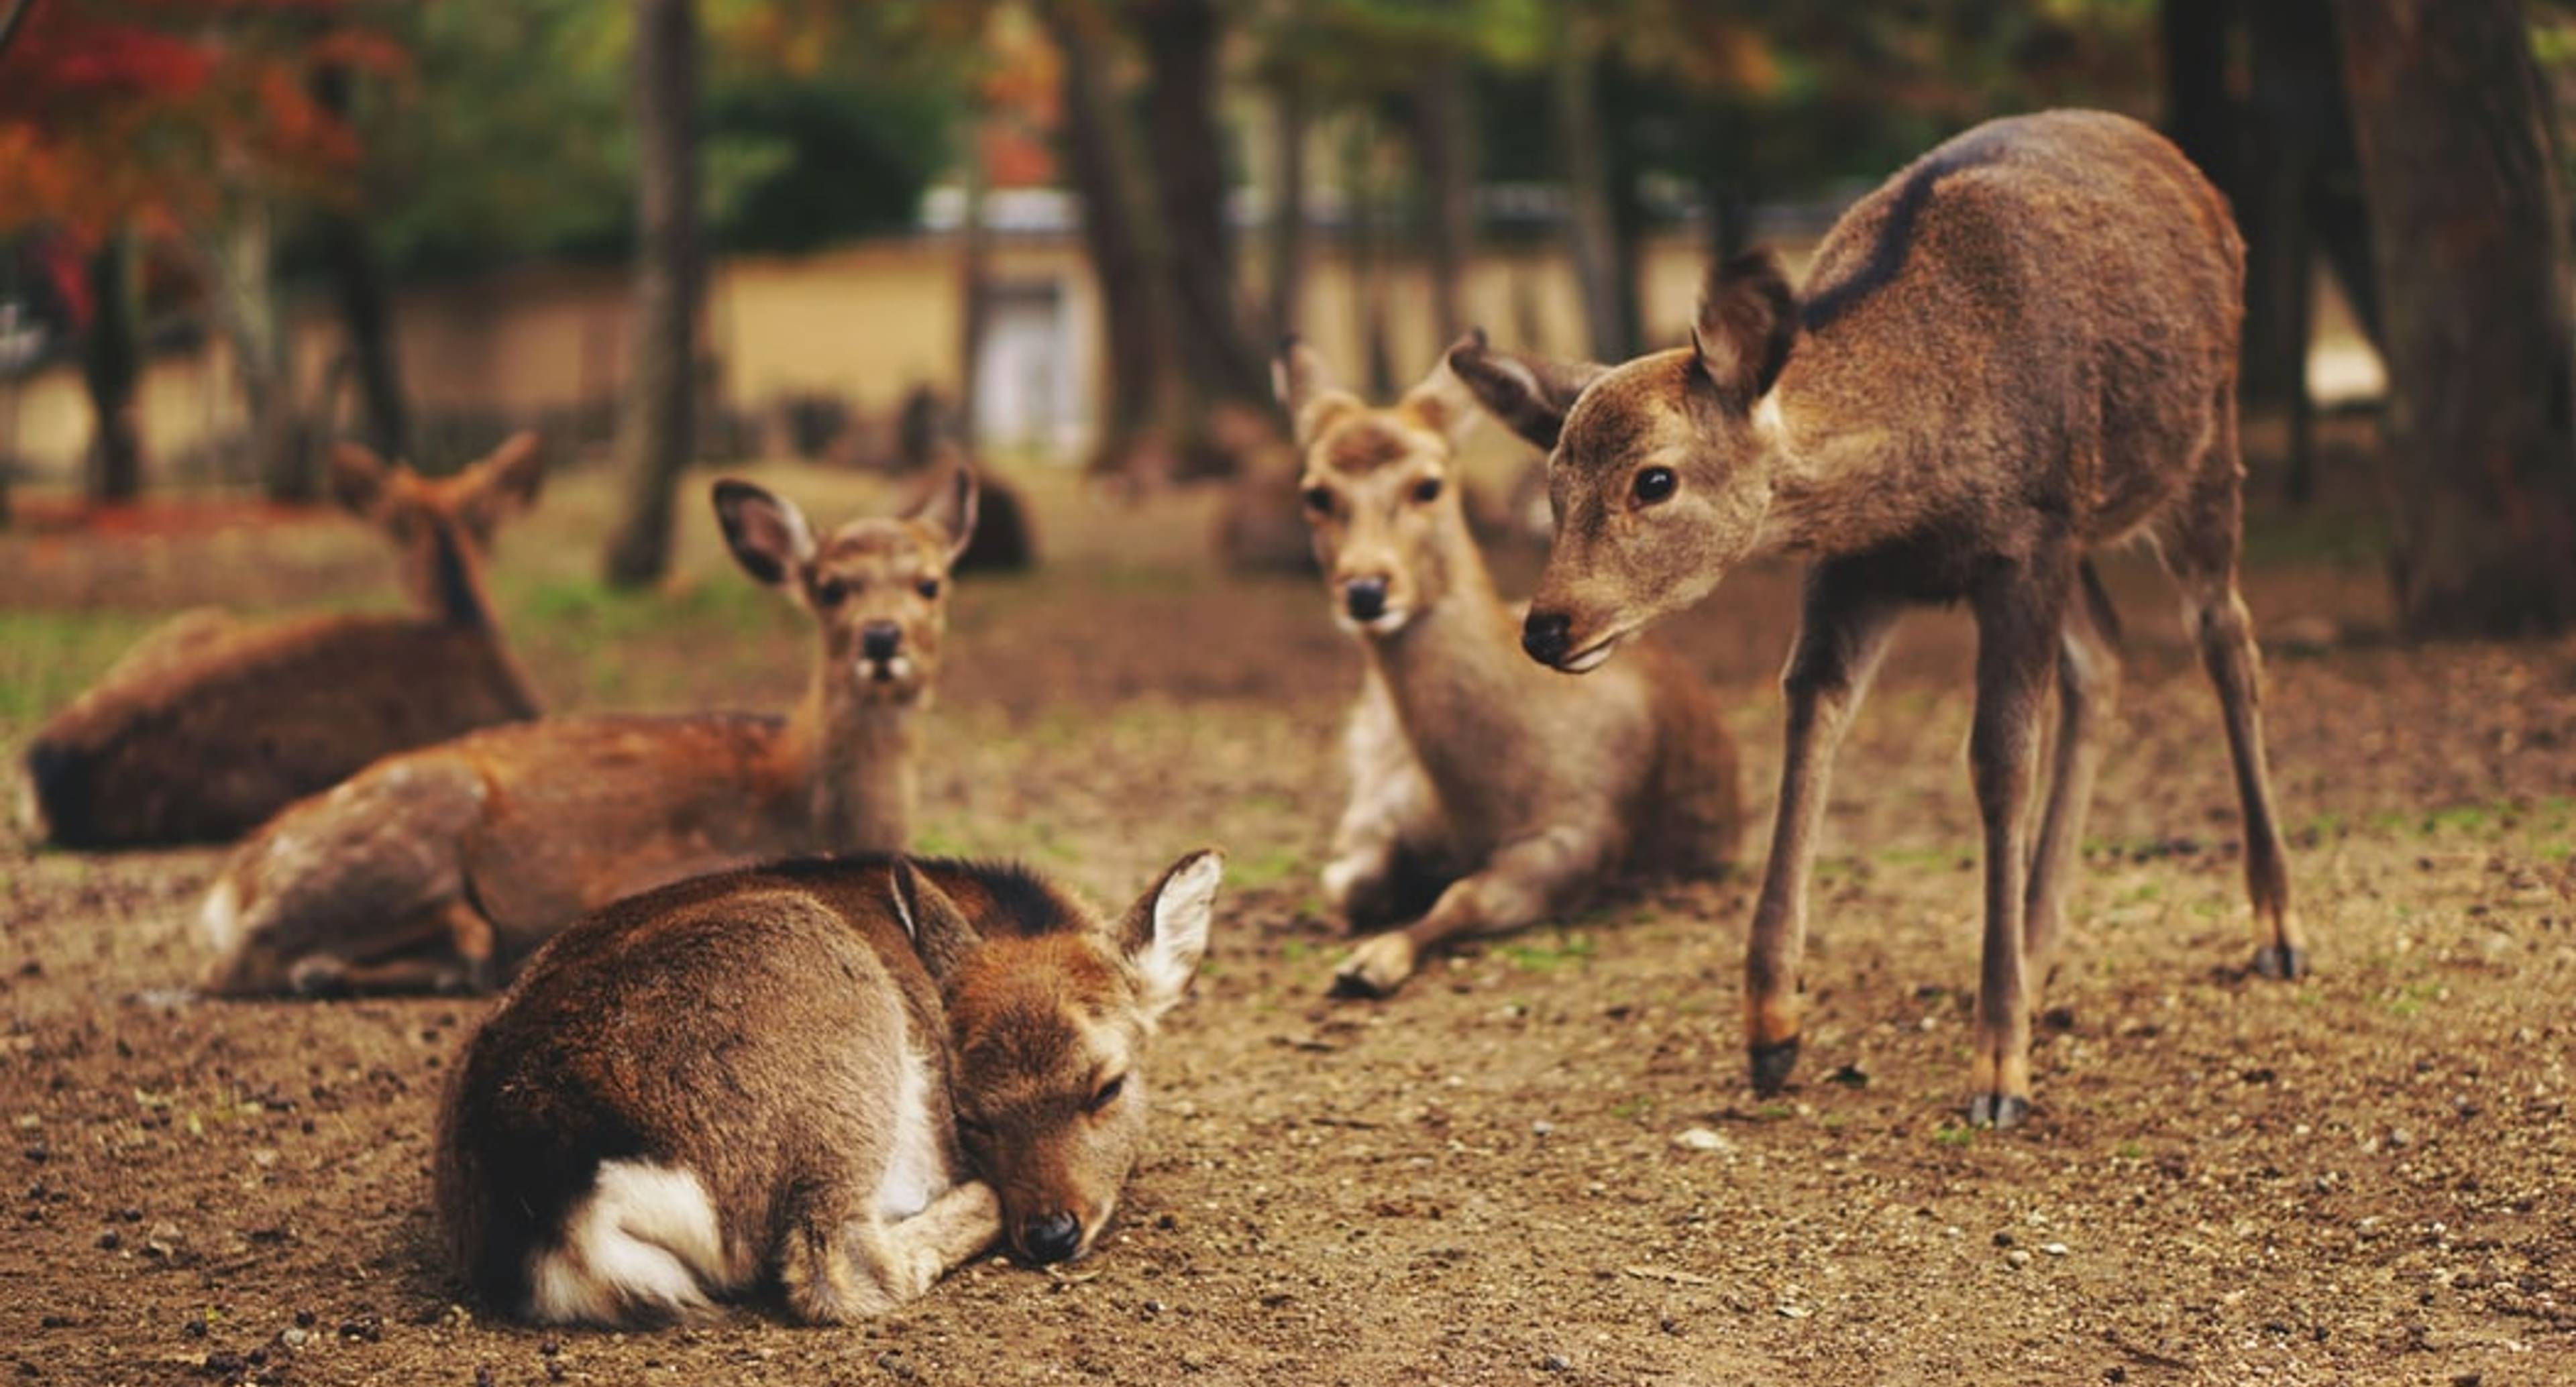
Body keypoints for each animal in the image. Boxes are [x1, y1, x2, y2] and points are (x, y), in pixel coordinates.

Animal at [195, 465, 979, 998]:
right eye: (830, 587)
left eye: (931, 583)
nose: (882, 637)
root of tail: (228, 886)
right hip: (403, 837)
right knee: (240, 964)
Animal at [435, 849, 1226, 1327]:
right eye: (970, 1115)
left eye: (1108, 1086)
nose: (1052, 1231)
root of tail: (556, 1212)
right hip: (829, 1033)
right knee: (838, 1265)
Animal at [1277, 342, 1741, 1003]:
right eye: (1315, 492)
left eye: (1429, 484)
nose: (1366, 590)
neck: (1476, 800)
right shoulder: (1377, 803)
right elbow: (1345, 879)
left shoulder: (1581, 835)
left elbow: (1465, 896)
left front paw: (1370, 962)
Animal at [1452, 109, 2298, 1127]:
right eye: (1553, 483)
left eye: (1654, 479)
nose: (1548, 625)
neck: (1915, 485)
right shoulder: (1860, 567)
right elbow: (1811, 713)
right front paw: (1771, 1028)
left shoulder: (2028, 541)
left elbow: (1998, 761)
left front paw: (1998, 1068)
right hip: (2091, 534)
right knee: (2106, 654)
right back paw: (2040, 940)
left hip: (2201, 451)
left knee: (2227, 638)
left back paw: (2277, 928)